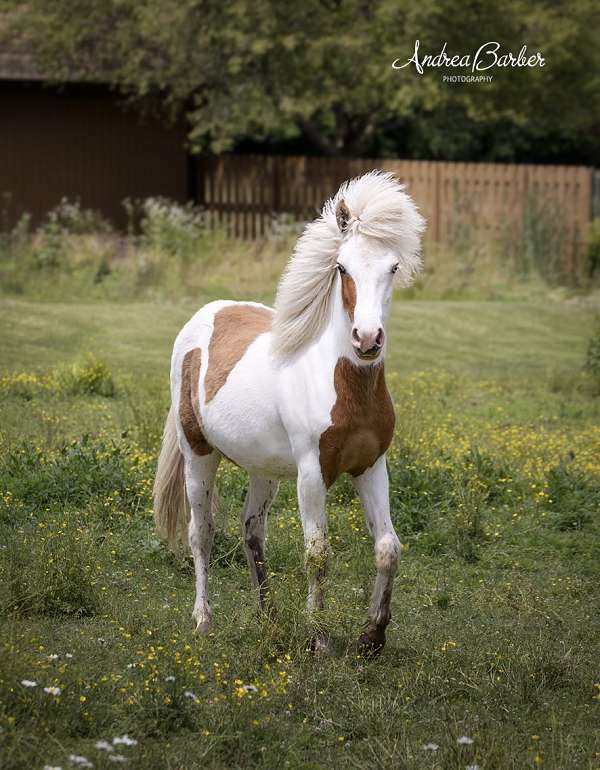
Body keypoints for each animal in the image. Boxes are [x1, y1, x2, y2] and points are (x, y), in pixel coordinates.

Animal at [153, 170, 425, 654]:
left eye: (393, 268)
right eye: (342, 267)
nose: (367, 339)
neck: (341, 384)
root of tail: (205, 315)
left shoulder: (371, 466)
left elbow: (388, 548)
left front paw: (372, 636)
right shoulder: (312, 473)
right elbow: (317, 554)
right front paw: (318, 638)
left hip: (264, 469)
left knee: (251, 530)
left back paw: (270, 619)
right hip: (197, 454)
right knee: (201, 533)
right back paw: (203, 621)